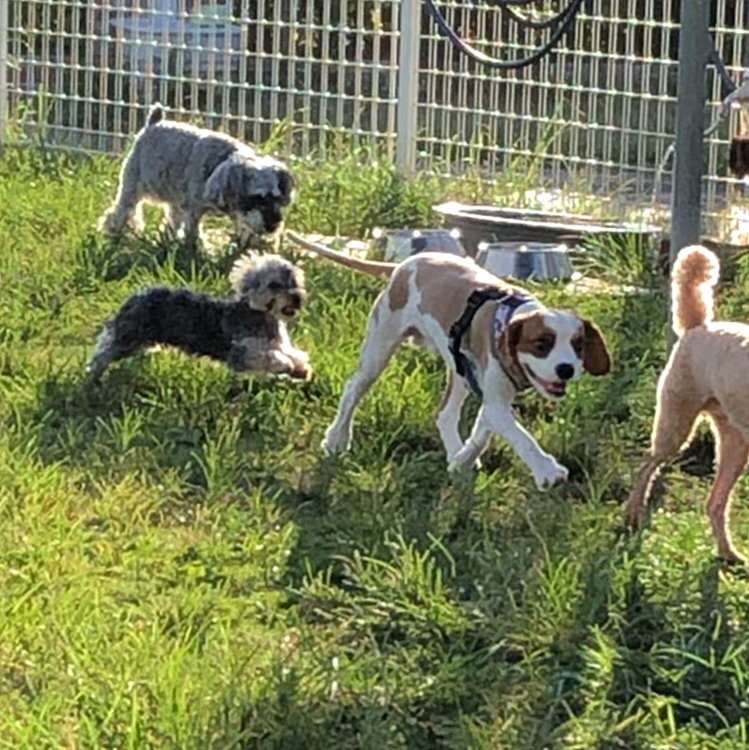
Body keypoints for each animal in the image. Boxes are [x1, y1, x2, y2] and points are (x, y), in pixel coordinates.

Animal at [85, 256, 310, 382]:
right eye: (274, 285)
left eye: (294, 282)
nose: (297, 298)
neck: (262, 316)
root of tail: (137, 296)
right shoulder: (240, 353)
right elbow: (269, 357)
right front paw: (285, 365)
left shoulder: (281, 345)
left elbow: (295, 355)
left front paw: (301, 369)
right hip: (129, 338)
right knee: (105, 349)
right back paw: (93, 376)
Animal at [98, 103, 296, 242]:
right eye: (257, 197)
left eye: (277, 198)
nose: (273, 225)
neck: (219, 163)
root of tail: (154, 122)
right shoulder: (194, 211)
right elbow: (193, 234)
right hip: (131, 187)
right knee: (121, 211)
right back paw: (113, 232)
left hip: (174, 198)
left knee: (171, 219)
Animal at [290, 232, 612, 490]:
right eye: (542, 344)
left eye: (578, 345)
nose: (566, 369)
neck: (511, 315)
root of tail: (405, 264)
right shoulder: (495, 398)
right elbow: (520, 436)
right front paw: (546, 470)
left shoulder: (492, 395)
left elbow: (483, 433)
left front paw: (461, 461)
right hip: (380, 347)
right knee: (353, 389)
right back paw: (337, 439)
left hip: (460, 370)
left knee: (444, 414)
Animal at [624, 245, 748, 564]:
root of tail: (698, 326)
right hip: (675, 422)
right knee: (647, 463)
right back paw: (632, 516)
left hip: (734, 444)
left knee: (715, 503)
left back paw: (727, 552)